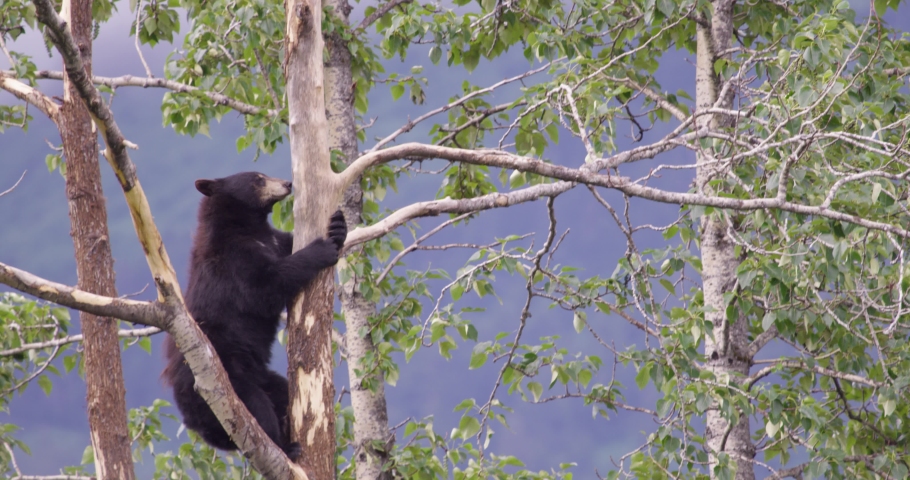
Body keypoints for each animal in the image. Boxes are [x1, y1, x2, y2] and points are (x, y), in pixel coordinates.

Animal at [162, 171, 346, 460]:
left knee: (281, 391)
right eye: (257, 179)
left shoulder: (273, 240)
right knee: (258, 409)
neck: (249, 228)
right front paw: (321, 249)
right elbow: (267, 286)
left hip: (261, 377)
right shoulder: (235, 263)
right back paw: (286, 447)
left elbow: (288, 243)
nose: (287, 184)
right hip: (230, 382)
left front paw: (338, 226)